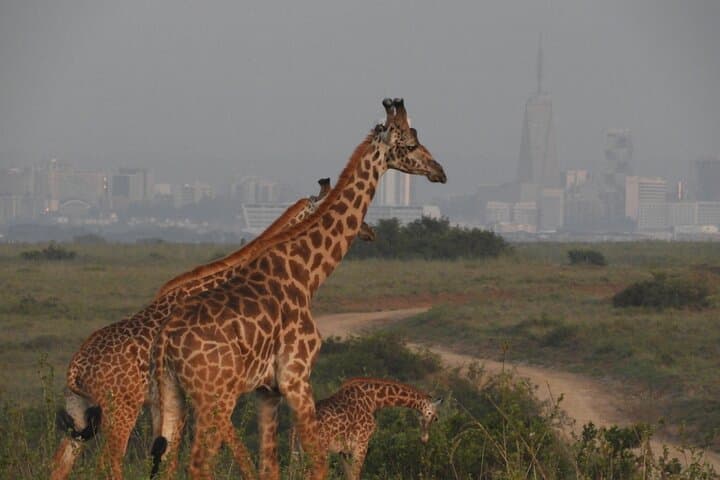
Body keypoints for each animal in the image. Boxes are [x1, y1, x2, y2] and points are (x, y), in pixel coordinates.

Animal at [50, 177, 364, 480]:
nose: (368, 231)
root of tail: (75, 368)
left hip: (80, 409)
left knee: (61, 464)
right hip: (121, 408)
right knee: (108, 462)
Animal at [289, 378, 441, 480]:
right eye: (435, 418)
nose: (425, 439)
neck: (374, 400)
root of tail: (296, 427)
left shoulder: (343, 451)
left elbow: (349, 476)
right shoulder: (362, 443)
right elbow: (355, 475)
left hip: (297, 453)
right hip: (319, 452)